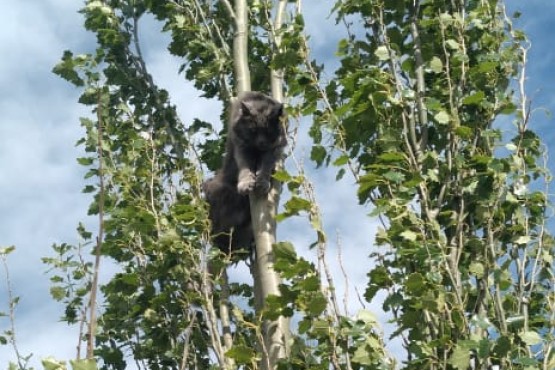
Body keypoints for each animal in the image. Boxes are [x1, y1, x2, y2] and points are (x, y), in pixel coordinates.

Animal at [203, 91, 286, 253]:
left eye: (268, 131)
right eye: (253, 130)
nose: (261, 142)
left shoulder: (272, 149)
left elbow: (265, 167)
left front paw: (262, 182)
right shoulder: (241, 147)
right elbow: (245, 168)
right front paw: (246, 184)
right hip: (215, 190)